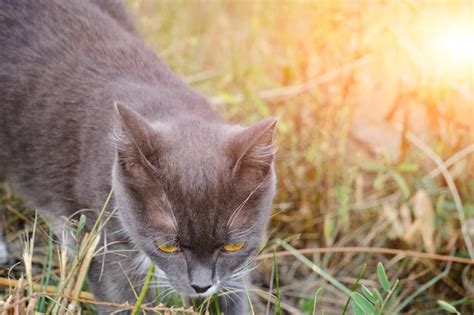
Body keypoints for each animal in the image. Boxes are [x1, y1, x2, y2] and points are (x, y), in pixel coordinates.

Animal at [0, 1, 276, 314]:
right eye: (167, 246)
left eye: (233, 247)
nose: (201, 286)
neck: (167, 105)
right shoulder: (104, 231)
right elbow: (119, 294)